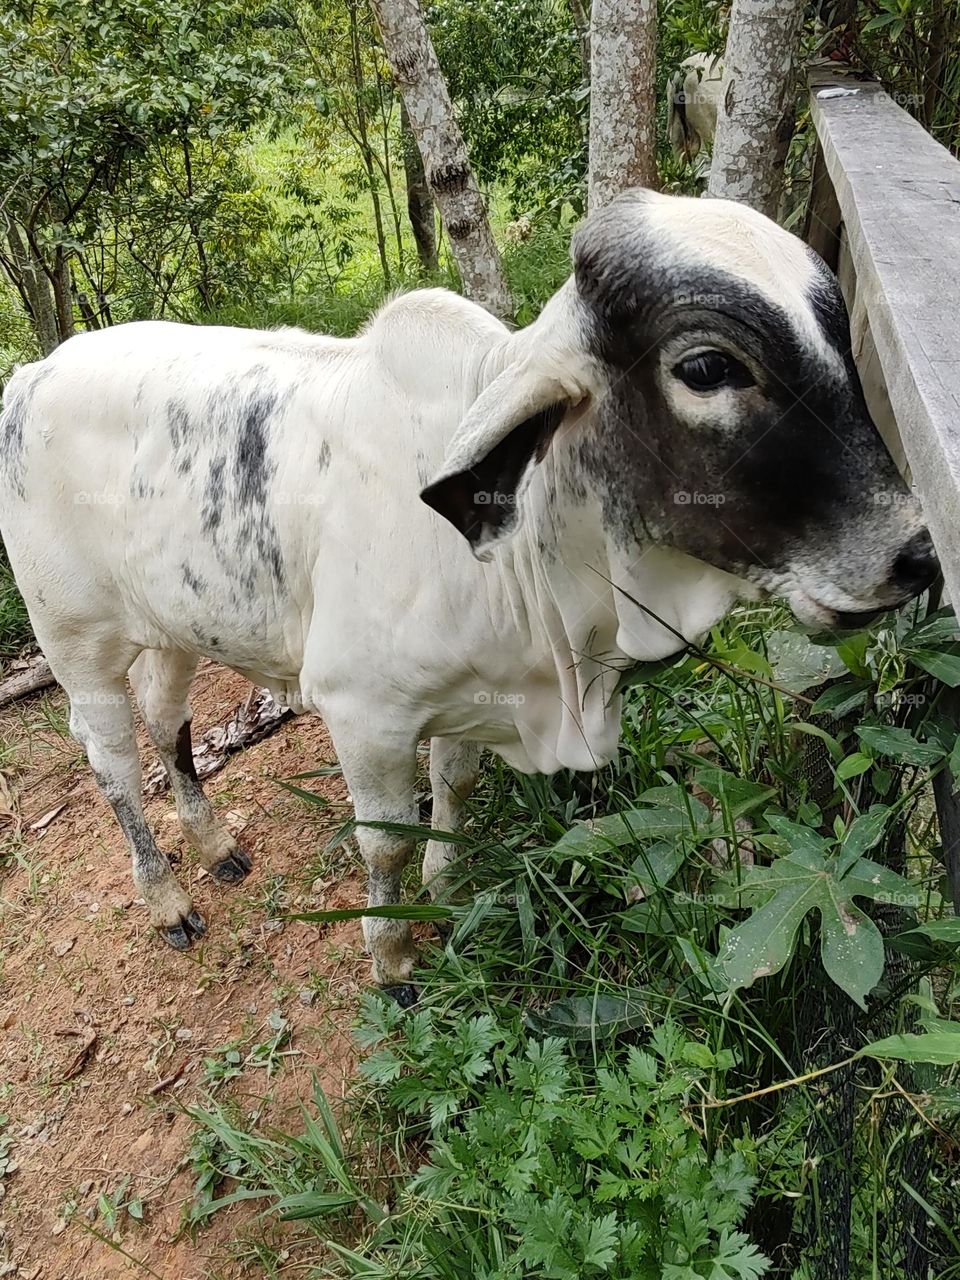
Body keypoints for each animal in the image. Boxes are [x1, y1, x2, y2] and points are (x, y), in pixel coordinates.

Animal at [0, 189, 936, 998]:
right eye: (707, 367)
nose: (918, 555)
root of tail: (33, 372)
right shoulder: (362, 714)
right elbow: (384, 846)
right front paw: (393, 961)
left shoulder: (472, 699)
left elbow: (452, 793)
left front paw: (445, 892)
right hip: (75, 641)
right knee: (113, 762)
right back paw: (167, 898)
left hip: (176, 628)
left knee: (168, 722)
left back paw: (216, 843)